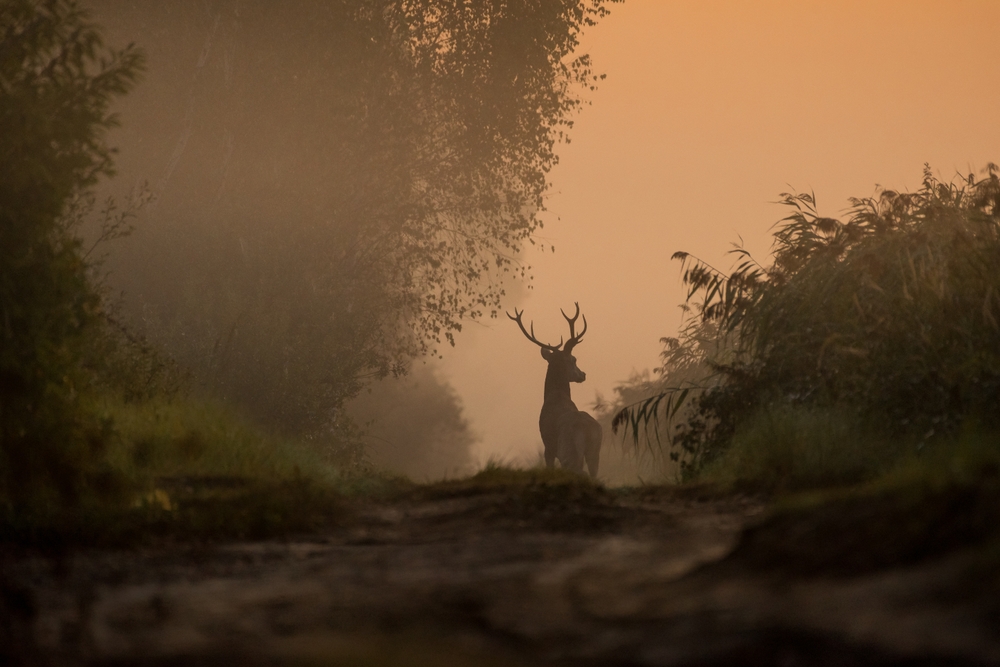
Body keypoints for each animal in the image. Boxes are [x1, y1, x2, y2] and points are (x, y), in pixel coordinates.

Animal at [508, 306, 600, 478]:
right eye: (574, 359)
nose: (583, 374)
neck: (555, 396)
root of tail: (586, 427)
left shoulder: (548, 447)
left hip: (567, 449)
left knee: (579, 470)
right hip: (596, 449)